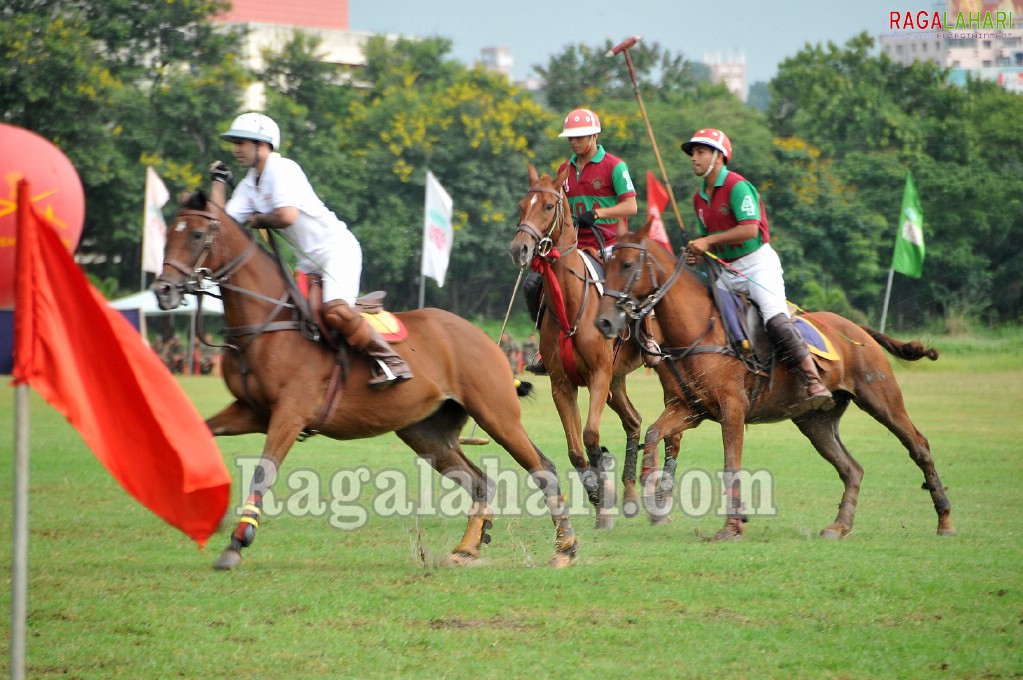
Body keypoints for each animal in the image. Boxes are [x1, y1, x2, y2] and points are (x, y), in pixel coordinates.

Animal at [155, 189, 581, 568]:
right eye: (168, 232)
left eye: (196, 234)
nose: (163, 290)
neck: (269, 320)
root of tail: (486, 340)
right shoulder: (252, 411)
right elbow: (200, 432)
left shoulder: (289, 415)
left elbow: (263, 472)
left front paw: (237, 542)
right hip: (425, 432)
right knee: (479, 481)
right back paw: (467, 549)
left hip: (496, 414)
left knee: (543, 467)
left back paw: (565, 548)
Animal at [509, 164, 671, 523]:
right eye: (521, 205)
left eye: (548, 206)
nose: (519, 249)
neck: (571, 306)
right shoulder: (562, 384)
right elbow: (575, 449)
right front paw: (598, 494)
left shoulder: (598, 376)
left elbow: (592, 437)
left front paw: (603, 498)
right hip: (617, 379)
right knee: (634, 420)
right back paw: (630, 494)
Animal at [597, 219, 953, 539]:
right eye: (605, 264)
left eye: (626, 264)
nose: (603, 321)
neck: (699, 328)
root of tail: (858, 330)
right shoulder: (690, 409)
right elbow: (654, 433)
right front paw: (653, 498)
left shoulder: (732, 409)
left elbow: (731, 464)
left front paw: (732, 527)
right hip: (815, 420)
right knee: (852, 468)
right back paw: (839, 526)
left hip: (880, 397)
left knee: (918, 445)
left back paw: (945, 520)